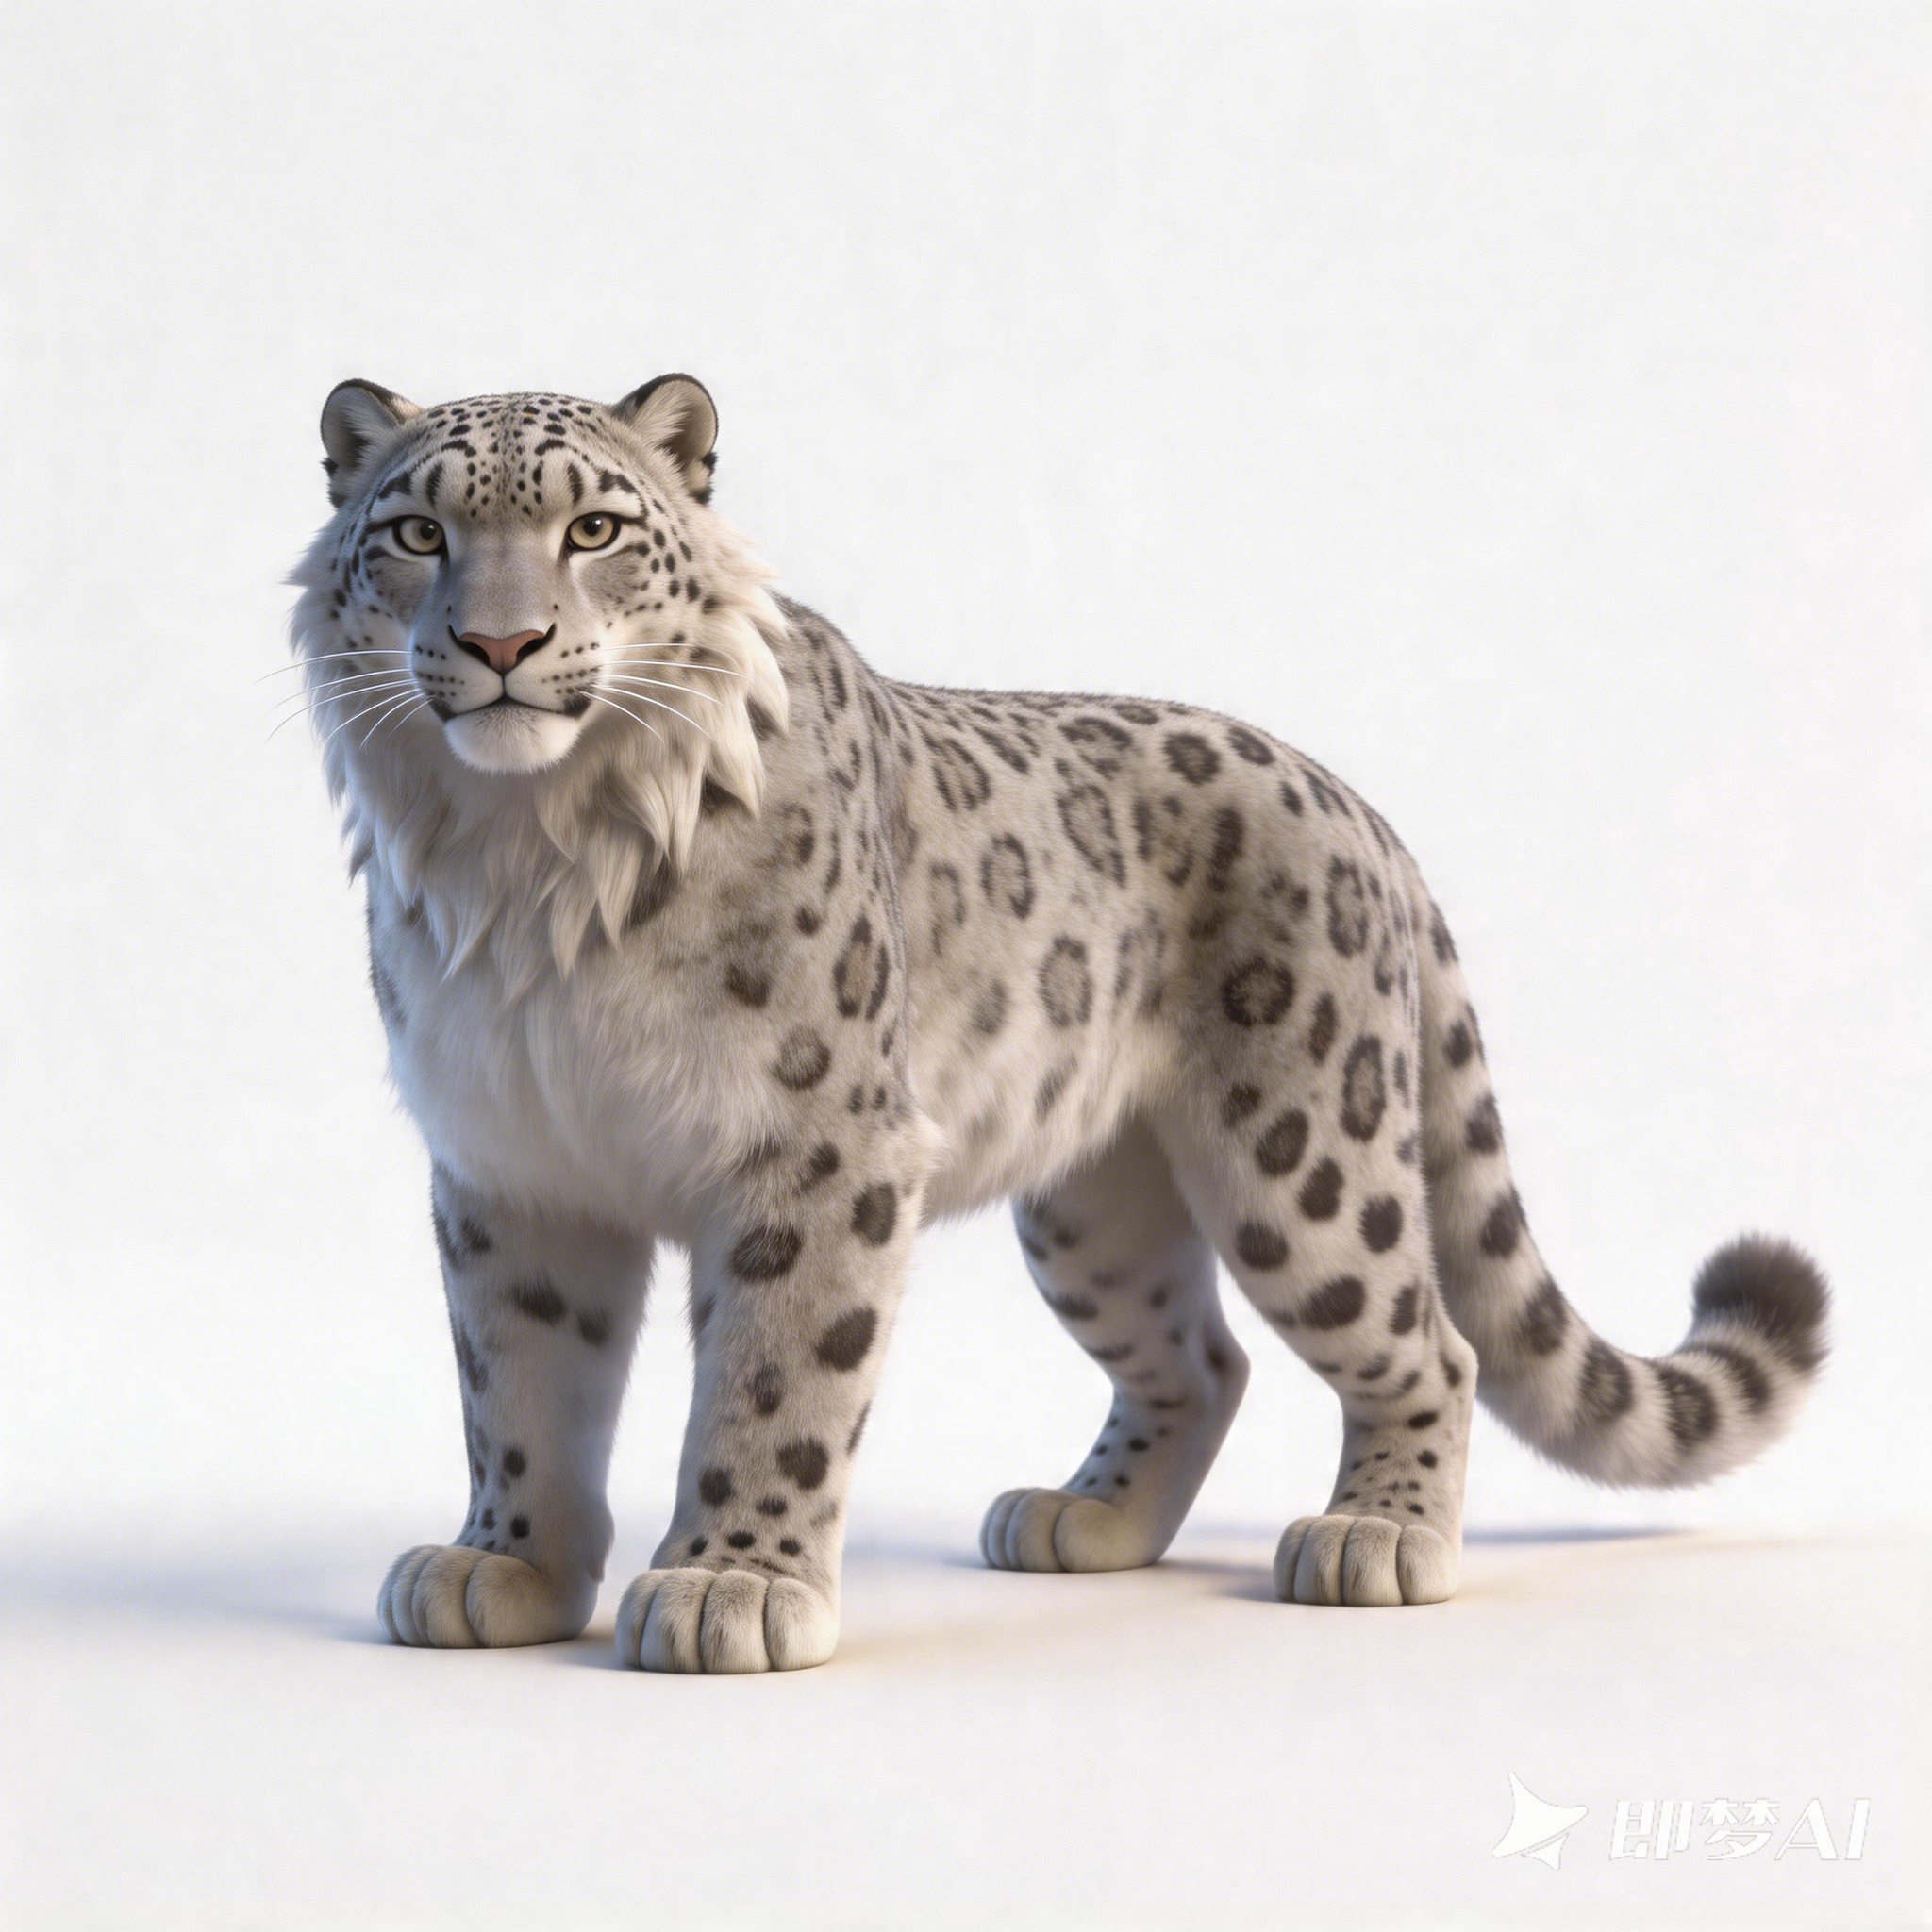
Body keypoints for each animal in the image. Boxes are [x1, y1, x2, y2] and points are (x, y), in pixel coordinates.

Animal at [287, 373, 1828, 1672]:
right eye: (417, 528)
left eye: (594, 526)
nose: (500, 641)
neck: (523, 856)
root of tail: (1355, 807)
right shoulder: (513, 1162)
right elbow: (518, 1386)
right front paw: (504, 1566)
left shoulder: (815, 1148)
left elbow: (775, 1380)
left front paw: (733, 1583)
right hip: (1096, 1210)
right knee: (1201, 1359)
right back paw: (1081, 1519)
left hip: (1305, 1158)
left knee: (1424, 1338)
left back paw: (1376, 1537)